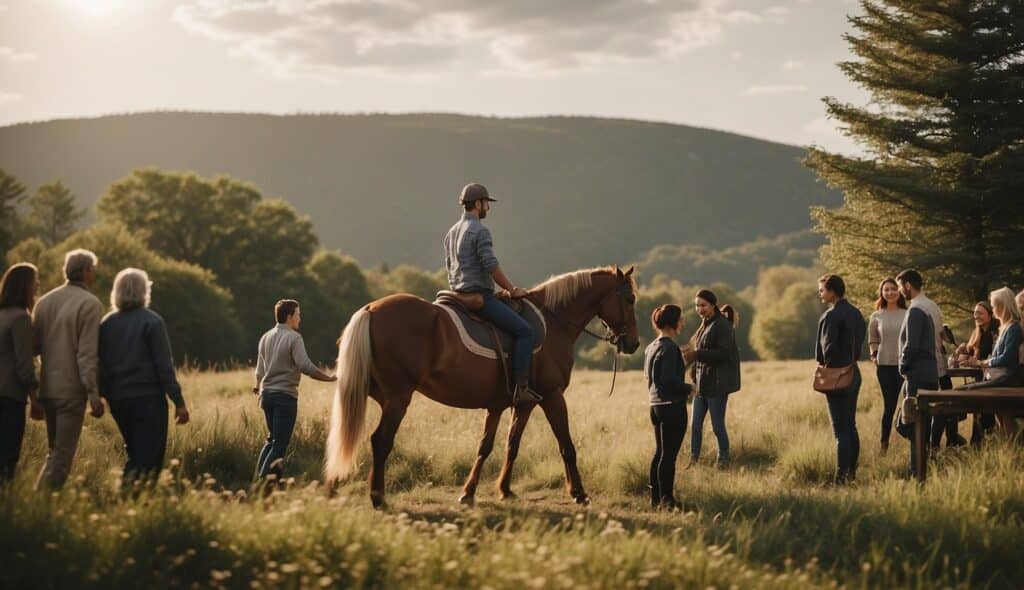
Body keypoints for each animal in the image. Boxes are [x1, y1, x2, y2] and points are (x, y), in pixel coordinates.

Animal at [325, 266, 638, 508]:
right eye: (631, 298)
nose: (633, 343)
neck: (554, 322)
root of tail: (371, 309)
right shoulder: (552, 397)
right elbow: (566, 445)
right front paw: (579, 493)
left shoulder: (517, 403)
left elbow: (500, 445)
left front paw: (491, 491)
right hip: (397, 399)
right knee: (380, 441)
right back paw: (377, 498)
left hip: (367, 393)